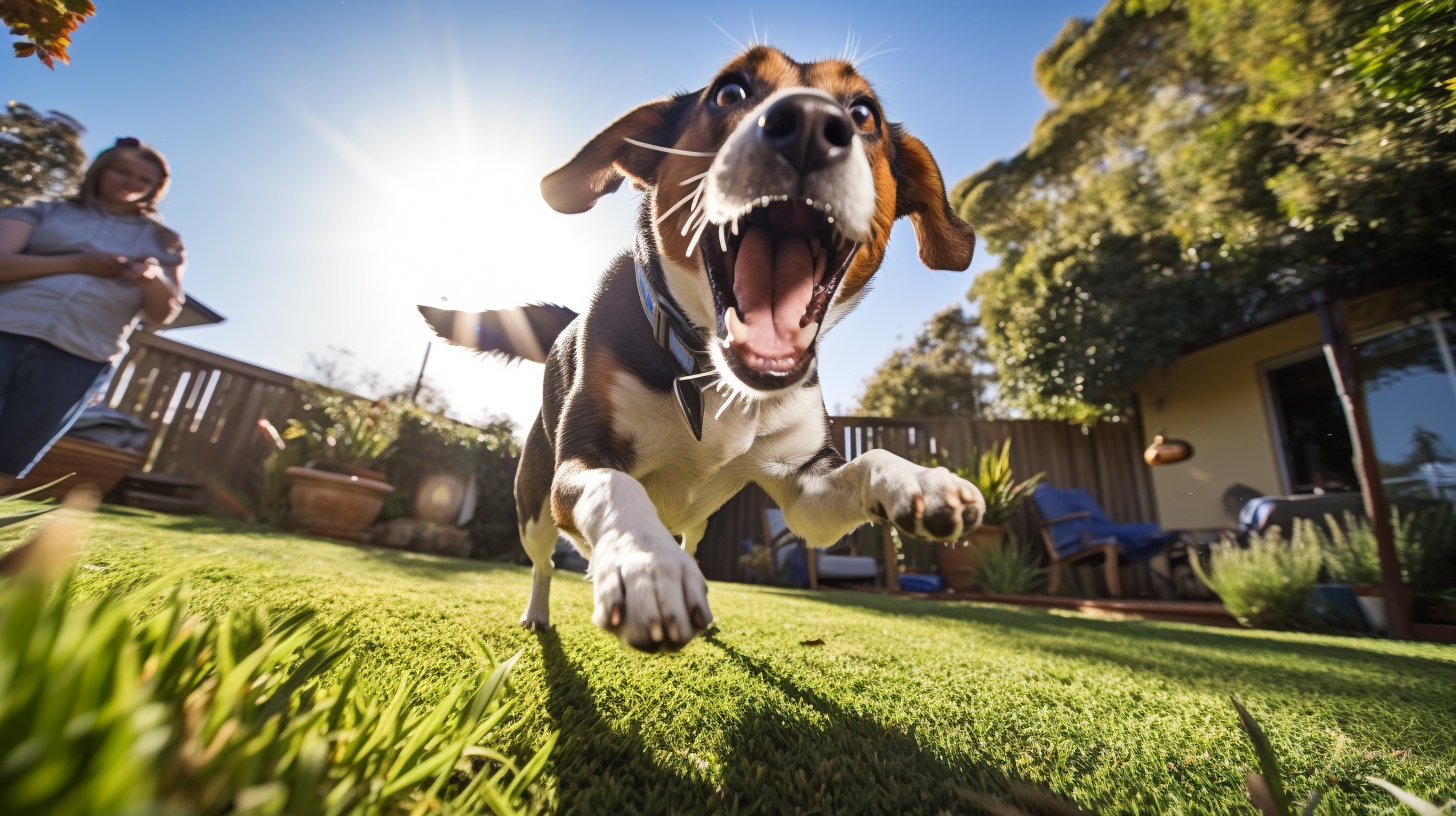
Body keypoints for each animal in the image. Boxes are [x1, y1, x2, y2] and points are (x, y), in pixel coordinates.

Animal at [425, 49, 990, 649]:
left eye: (863, 112)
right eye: (729, 92)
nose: (811, 124)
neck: (711, 373)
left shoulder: (804, 488)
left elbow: (868, 462)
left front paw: (921, 481)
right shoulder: (581, 464)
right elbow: (615, 487)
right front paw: (647, 565)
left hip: (701, 518)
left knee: (689, 541)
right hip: (533, 504)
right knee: (543, 563)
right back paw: (540, 611)